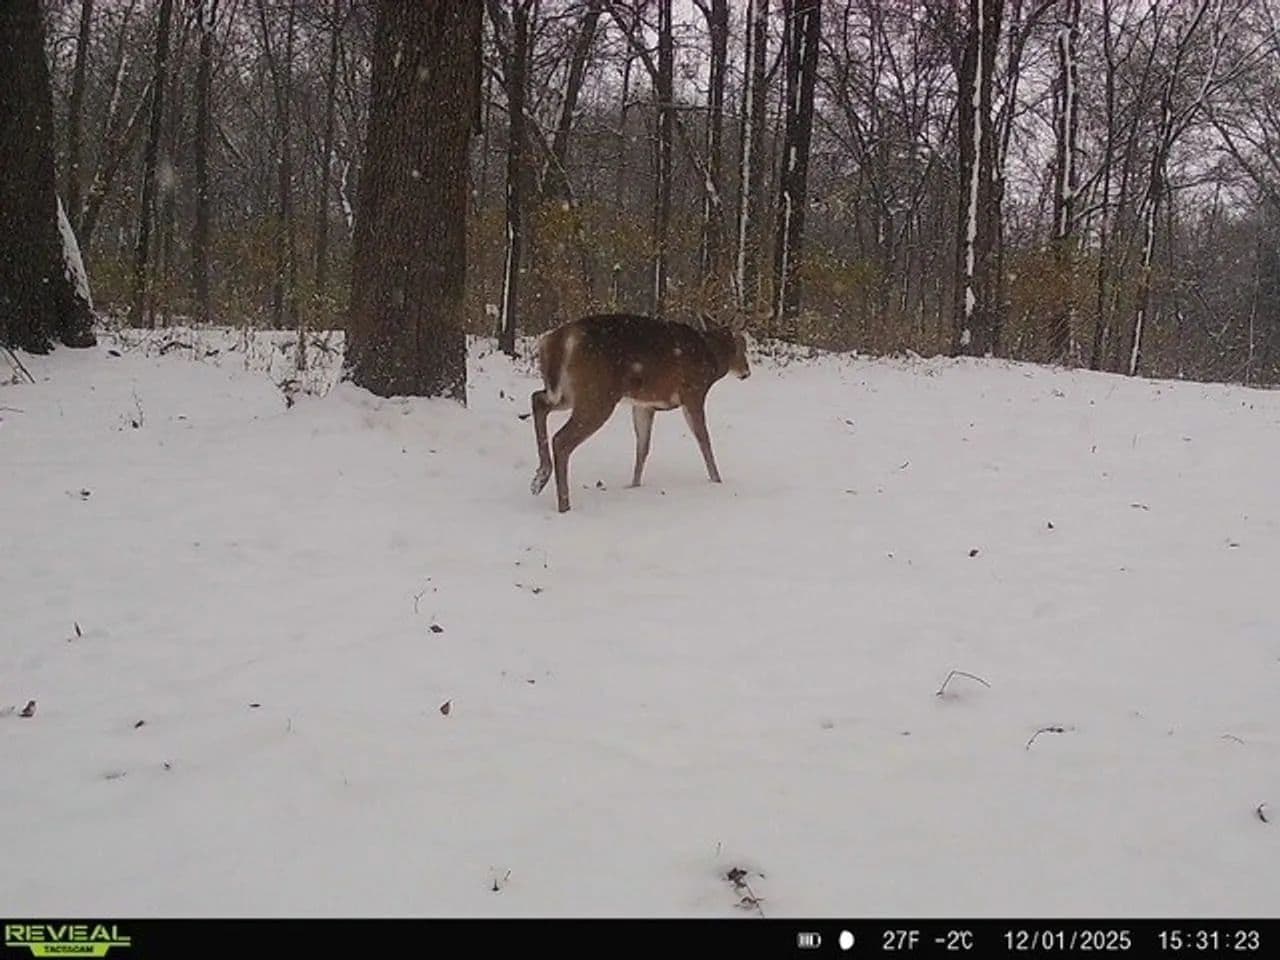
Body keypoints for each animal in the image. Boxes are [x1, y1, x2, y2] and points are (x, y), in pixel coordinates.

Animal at [528, 311, 754, 513]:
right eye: (742, 344)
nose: (747, 372)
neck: (712, 358)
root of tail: (557, 340)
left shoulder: (644, 404)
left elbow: (642, 447)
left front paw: (634, 486)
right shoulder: (693, 393)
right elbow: (704, 440)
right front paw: (717, 481)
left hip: (568, 394)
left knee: (538, 399)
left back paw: (540, 478)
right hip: (597, 394)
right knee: (561, 440)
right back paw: (563, 505)